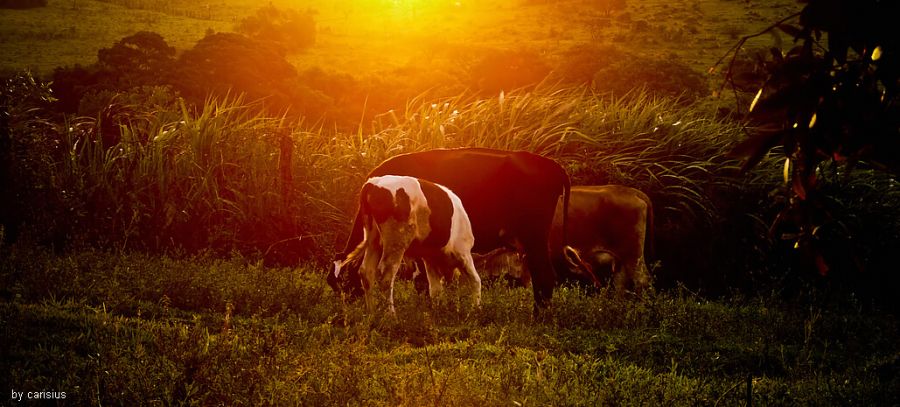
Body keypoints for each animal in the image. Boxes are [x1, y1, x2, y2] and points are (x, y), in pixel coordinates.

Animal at [334, 175, 482, 312]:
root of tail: (373, 183)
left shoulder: (430, 259)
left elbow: (435, 289)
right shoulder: (464, 252)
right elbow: (476, 280)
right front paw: (476, 309)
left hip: (373, 240)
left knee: (366, 272)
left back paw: (372, 312)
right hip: (396, 242)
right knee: (386, 275)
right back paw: (391, 315)